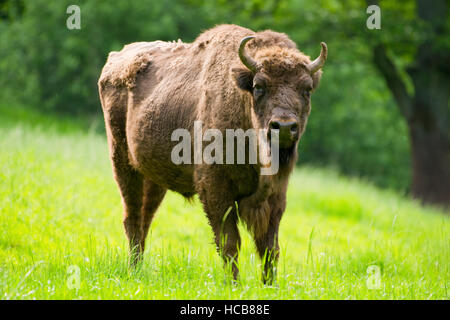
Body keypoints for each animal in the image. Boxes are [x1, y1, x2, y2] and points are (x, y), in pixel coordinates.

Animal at [98, 25, 326, 284]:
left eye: (306, 89)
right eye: (259, 86)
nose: (285, 127)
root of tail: (114, 61)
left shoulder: (275, 197)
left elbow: (269, 248)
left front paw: (270, 285)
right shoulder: (215, 190)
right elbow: (230, 243)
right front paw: (234, 284)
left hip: (154, 178)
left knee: (146, 217)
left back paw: (137, 268)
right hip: (123, 163)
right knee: (133, 217)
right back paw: (133, 269)